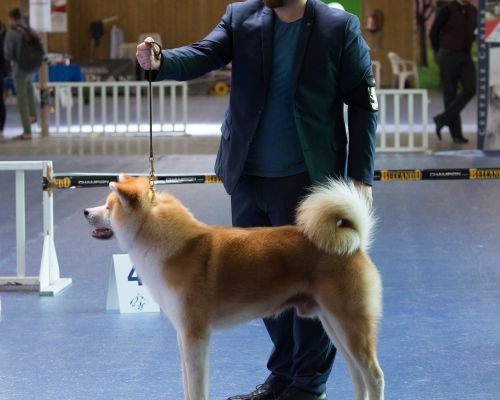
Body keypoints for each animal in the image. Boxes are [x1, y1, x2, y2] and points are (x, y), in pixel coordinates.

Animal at [84, 175, 384, 400]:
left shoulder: (195, 335)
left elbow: (196, 387)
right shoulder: (183, 336)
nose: (86, 211)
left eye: (109, 207)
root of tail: (355, 243)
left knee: (374, 377)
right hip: (333, 324)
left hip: (350, 324)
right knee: (358, 376)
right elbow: (187, 384)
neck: (172, 246)